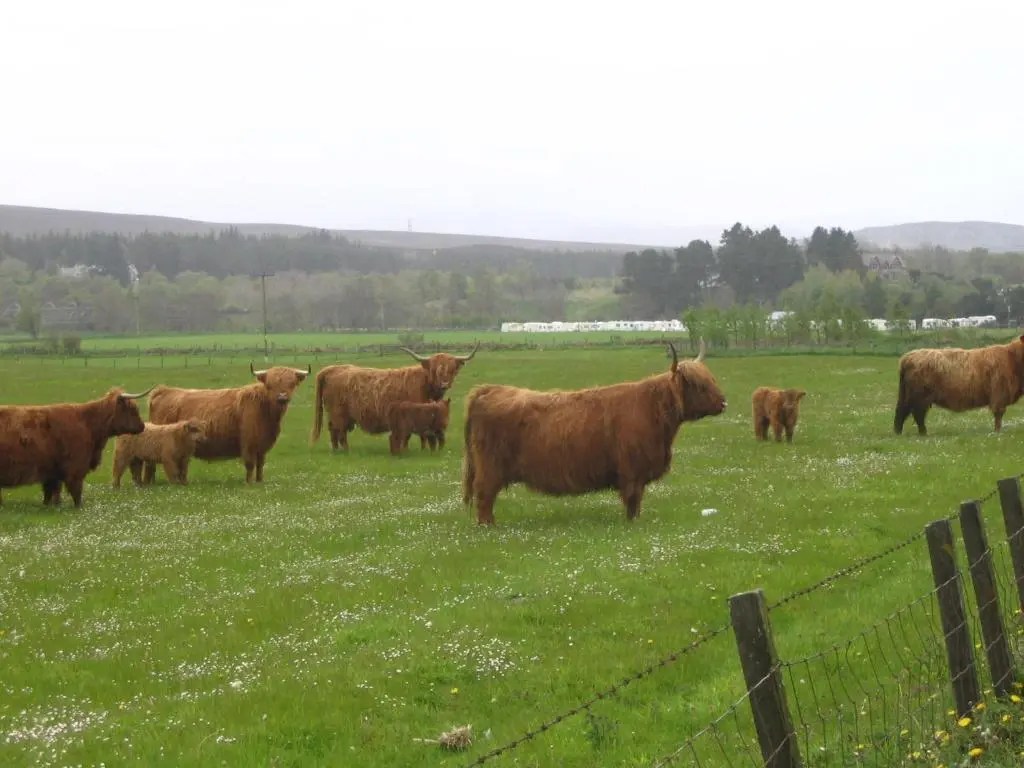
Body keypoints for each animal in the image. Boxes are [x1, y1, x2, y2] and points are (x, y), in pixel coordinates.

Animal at [0, 386, 153, 507]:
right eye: (133, 409)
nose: (142, 426)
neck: (88, 423)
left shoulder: (53, 471)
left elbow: (51, 492)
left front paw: (51, 505)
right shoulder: (75, 467)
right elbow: (76, 490)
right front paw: (78, 507)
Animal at [147, 364, 310, 483]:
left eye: (292, 384)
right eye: (270, 385)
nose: (282, 397)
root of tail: (164, 390)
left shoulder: (262, 445)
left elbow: (260, 464)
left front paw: (259, 481)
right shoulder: (248, 442)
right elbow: (250, 464)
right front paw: (249, 483)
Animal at [310, 342, 479, 451]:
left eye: (452, 370)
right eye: (434, 370)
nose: (444, 384)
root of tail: (333, 368)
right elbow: (416, 435)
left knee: (333, 430)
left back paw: (336, 450)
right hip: (339, 414)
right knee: (340, 432)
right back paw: (345, 450)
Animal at [461, 340, 727, 525]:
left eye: (712, 379)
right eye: (699, 385)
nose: (724, 403)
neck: (653, 409)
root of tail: (487, 389)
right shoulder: (632, 471)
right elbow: (633, 499)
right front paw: (633, 524)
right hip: (490, 467)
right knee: (484, 495)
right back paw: (489, 527)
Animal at [895, 334, 1024, 435]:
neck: (1012, 358)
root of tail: (907, 357)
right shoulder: (999, 394)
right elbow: (998, 414)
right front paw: (997, 432)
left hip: (908, 395)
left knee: (903, 411)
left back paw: (899, 432)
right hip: (920, 396)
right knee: (917, 414)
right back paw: (923, 433)